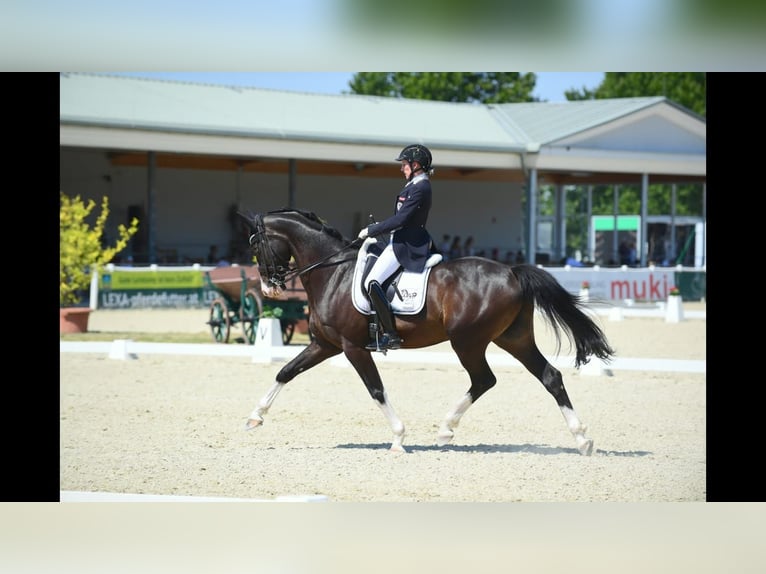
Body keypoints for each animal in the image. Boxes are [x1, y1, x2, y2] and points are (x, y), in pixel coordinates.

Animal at [246, 209, 616, 456]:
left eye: (256, 245)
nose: (268, 288)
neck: (333, 273)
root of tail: (512, 271)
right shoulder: (325, 344)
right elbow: (285, 371)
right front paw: (254, 418)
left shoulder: (353, 347)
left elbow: (376, 390)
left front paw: (398, 438)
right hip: (513, 338)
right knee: (549, 376)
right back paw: (583, 439)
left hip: (468, 341)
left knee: (484, 380)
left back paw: (445, 429)